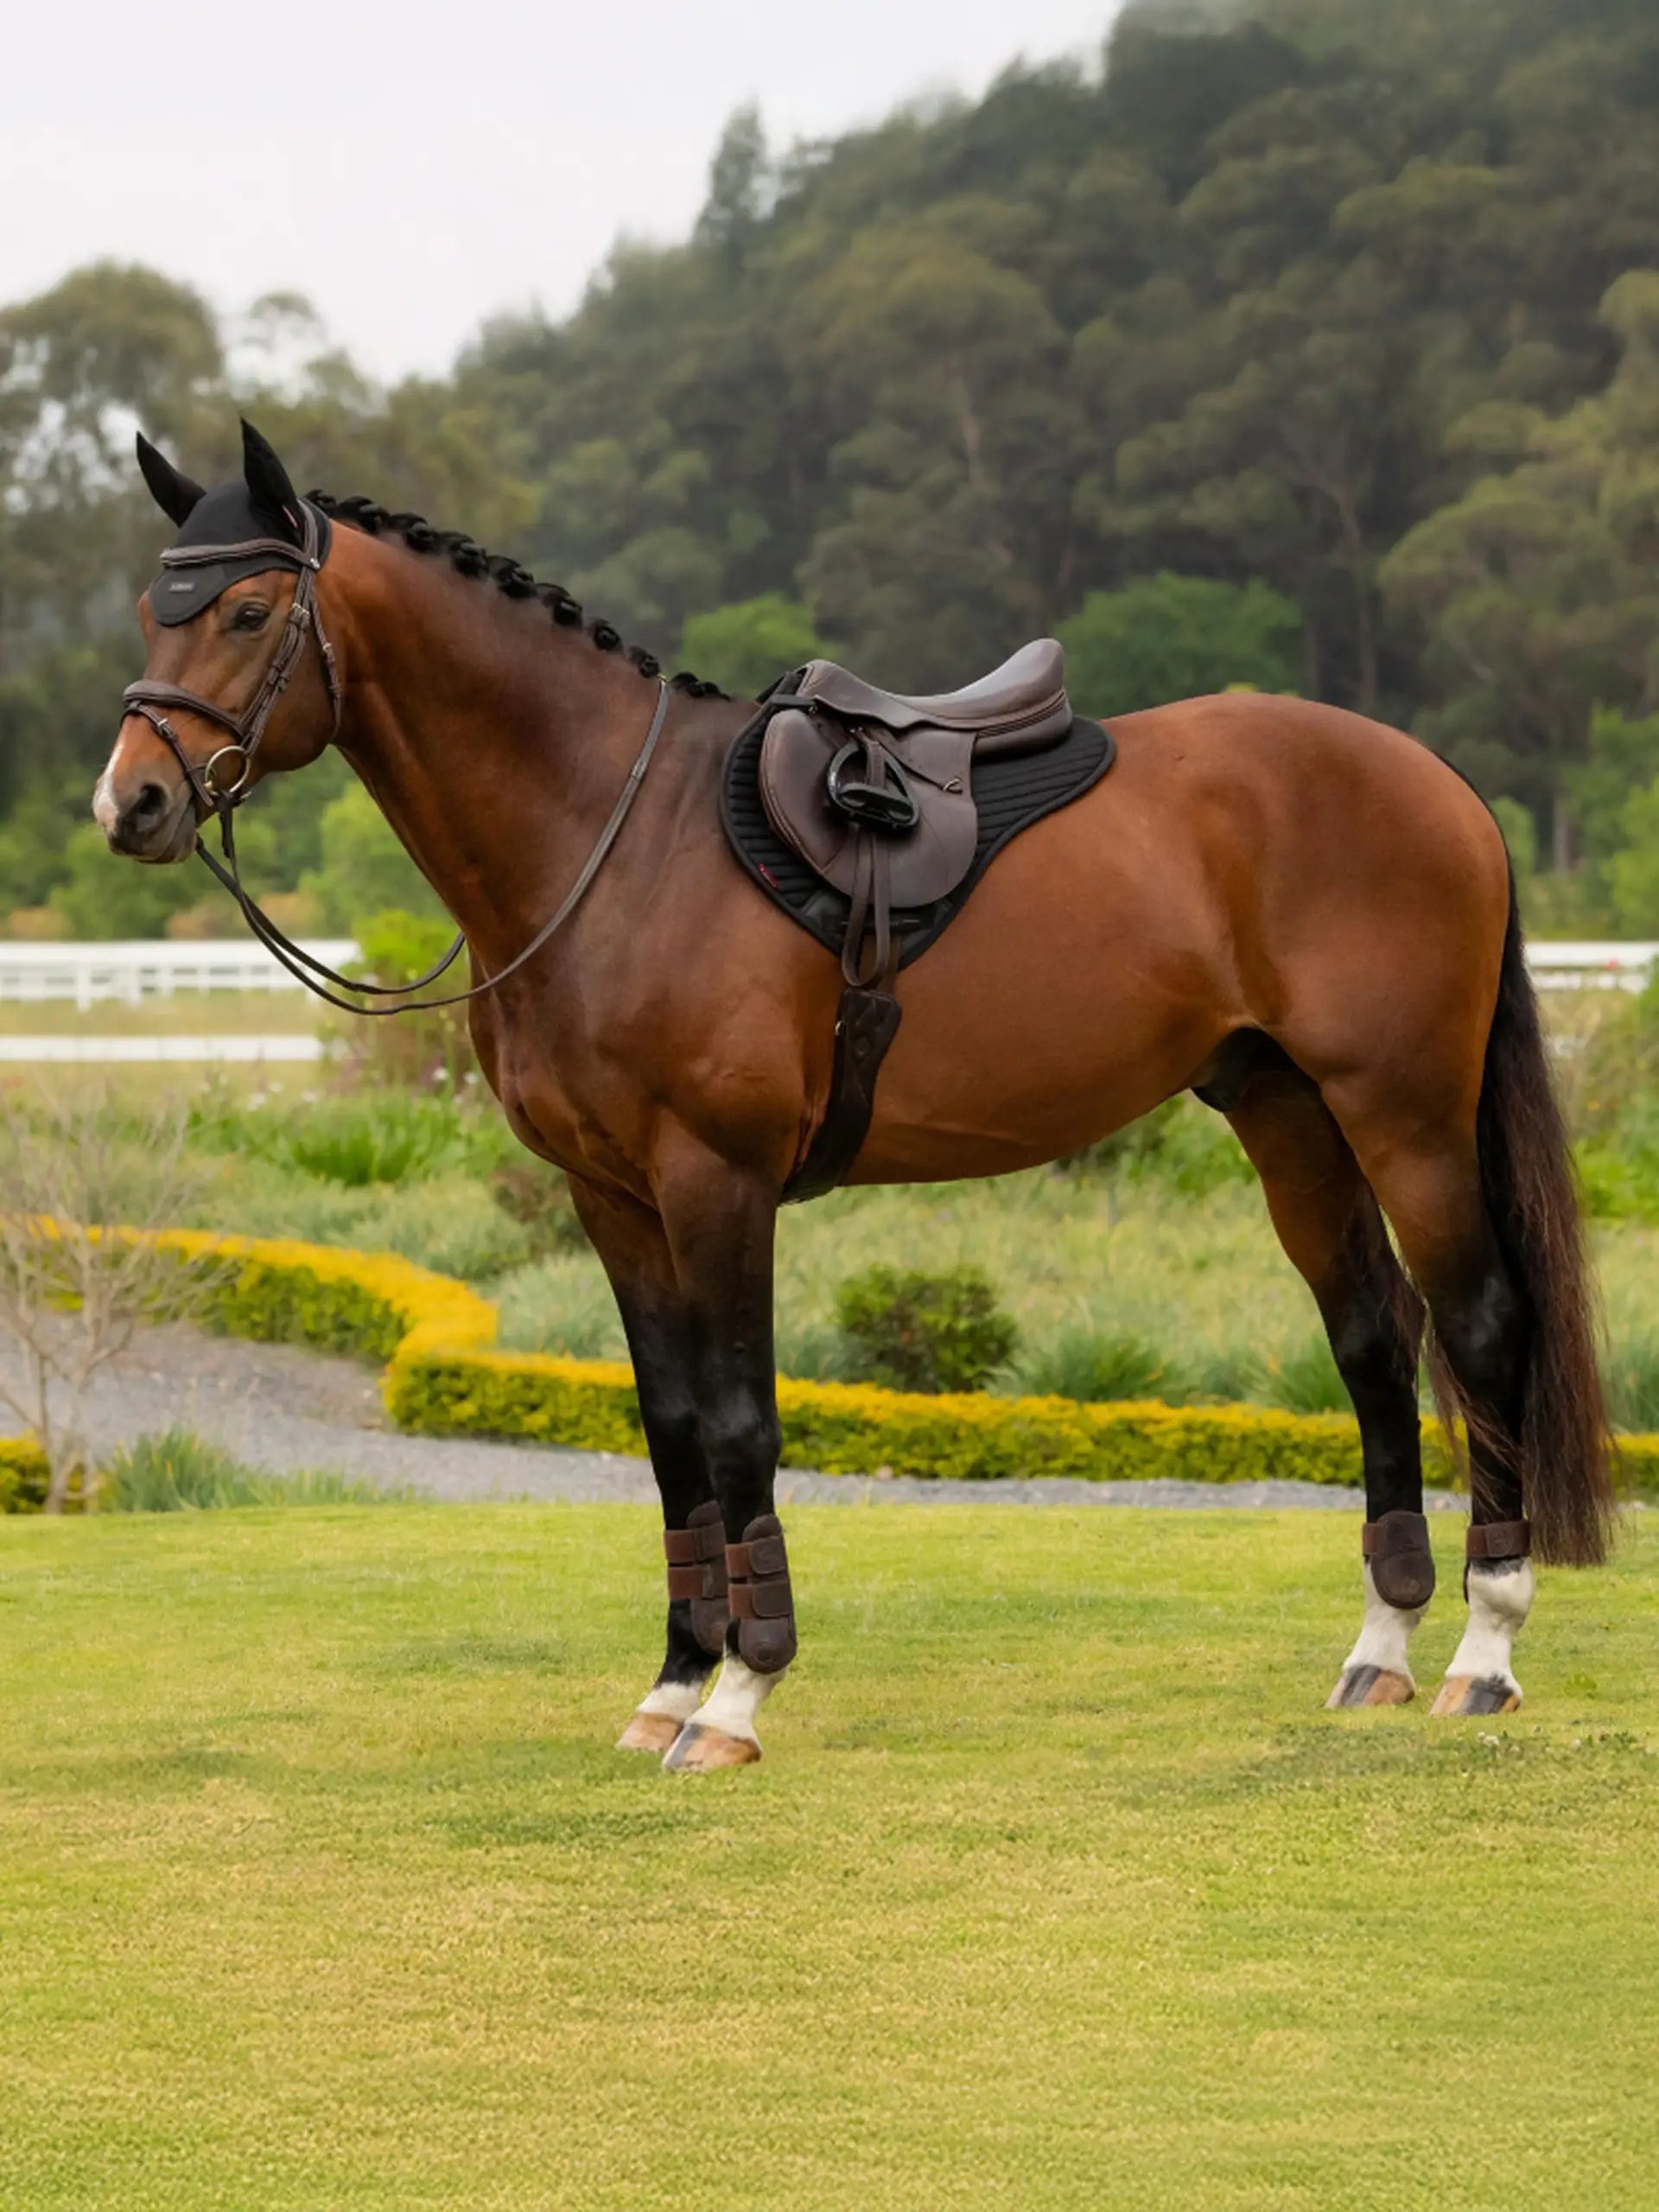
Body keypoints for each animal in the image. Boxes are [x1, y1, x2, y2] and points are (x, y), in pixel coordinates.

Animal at [93, 421, 1615, 1771]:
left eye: (244, 610)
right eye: (153, 611)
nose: (133, 807)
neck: (611, 843)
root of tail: (1439, 781)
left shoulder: (717, 1184)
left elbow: (739, 1427)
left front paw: (736, 1702)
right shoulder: (612, 1199)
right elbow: (669, 1437)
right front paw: (672, 1679)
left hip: (1405, 1114)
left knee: (1480, 1327)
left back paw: (1484, 1654)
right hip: (1289, 1114)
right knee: (1371, 1337)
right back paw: (1380, 1651)